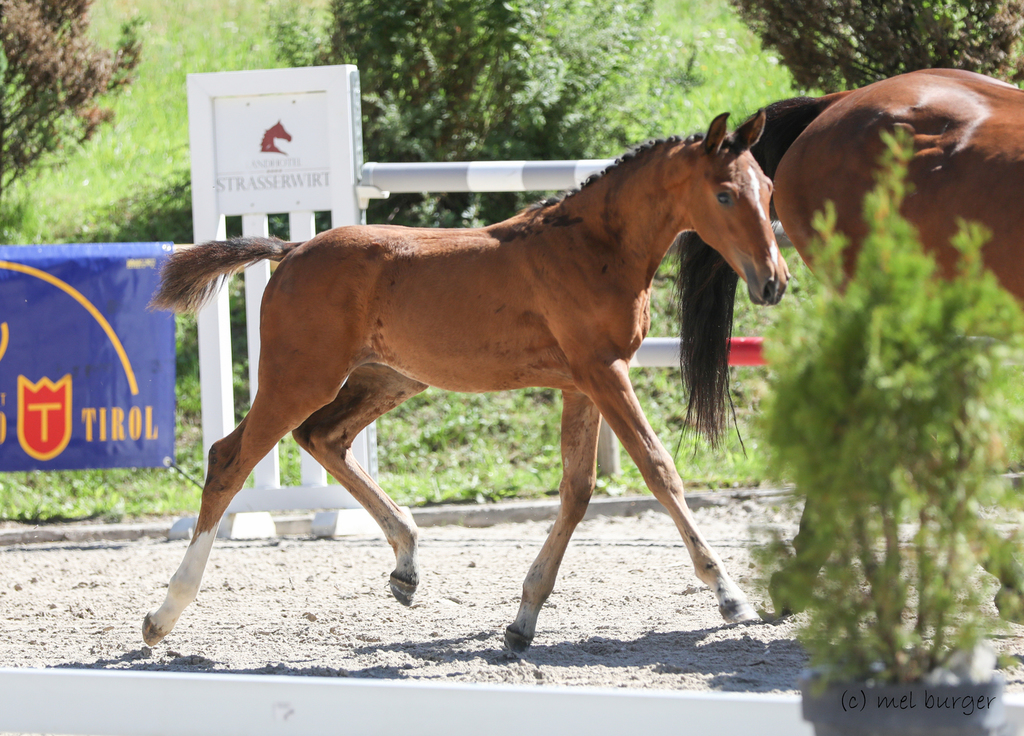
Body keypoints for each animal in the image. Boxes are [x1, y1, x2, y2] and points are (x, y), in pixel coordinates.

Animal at [143, 110, 789, 653]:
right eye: (724, 194)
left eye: (769, 190)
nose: (773, 282)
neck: (593, 245)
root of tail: (293, 248)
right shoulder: (605, 373)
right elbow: (660, 472)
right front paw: (731, 596)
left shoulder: (580, 384)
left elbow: (577, 491)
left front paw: (523, 621)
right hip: (299, 378)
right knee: (230, 459)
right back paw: (163, 615)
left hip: (390, 379)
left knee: (323, 438)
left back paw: (406, 564)